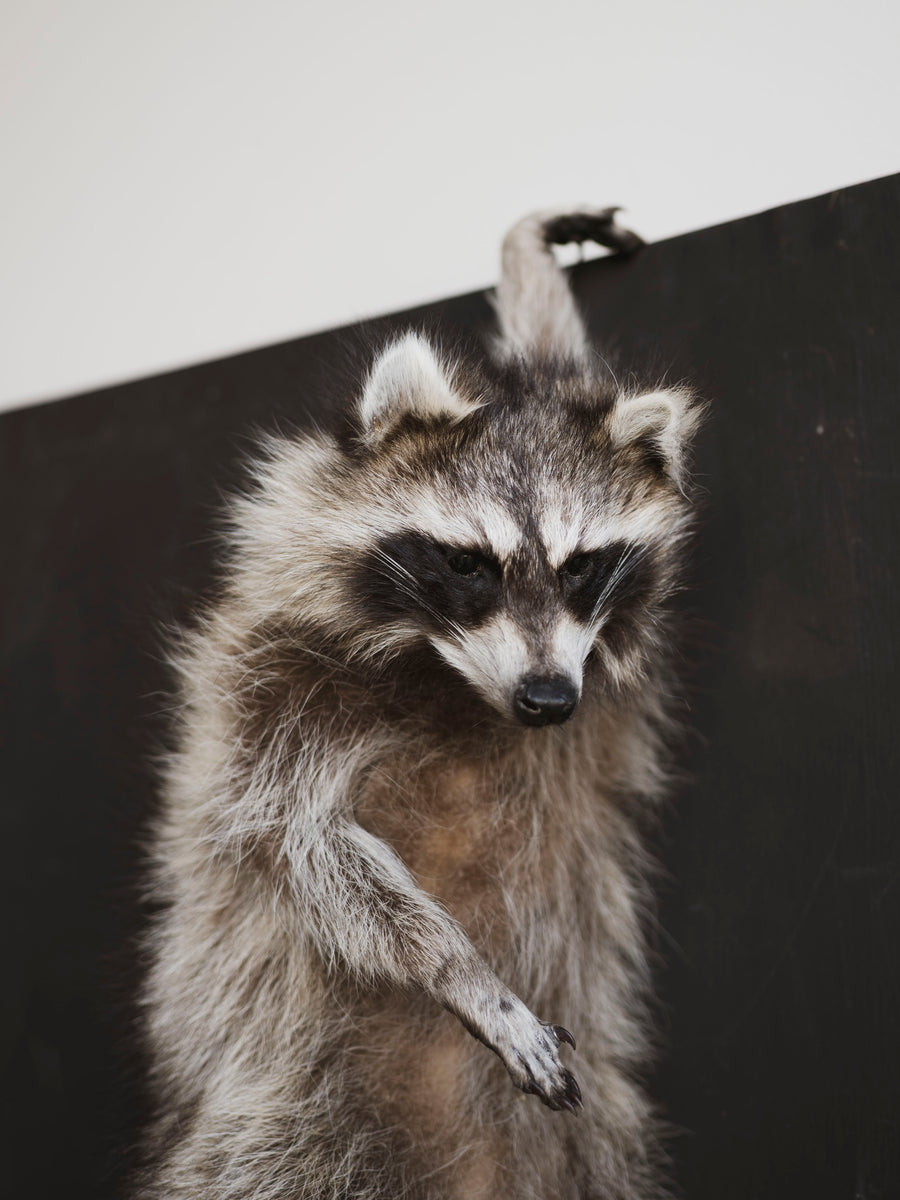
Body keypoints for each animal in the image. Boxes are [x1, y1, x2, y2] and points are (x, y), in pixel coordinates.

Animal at [136, 207, 702, 1200]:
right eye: (468, 564)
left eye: (581, 567)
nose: (548, 698)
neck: (455, 683)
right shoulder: (272, 686)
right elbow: (301, 840)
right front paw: (458, 969)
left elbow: (554, 354)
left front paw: (530, 267)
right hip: (280, 1115)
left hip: (585, 1146)